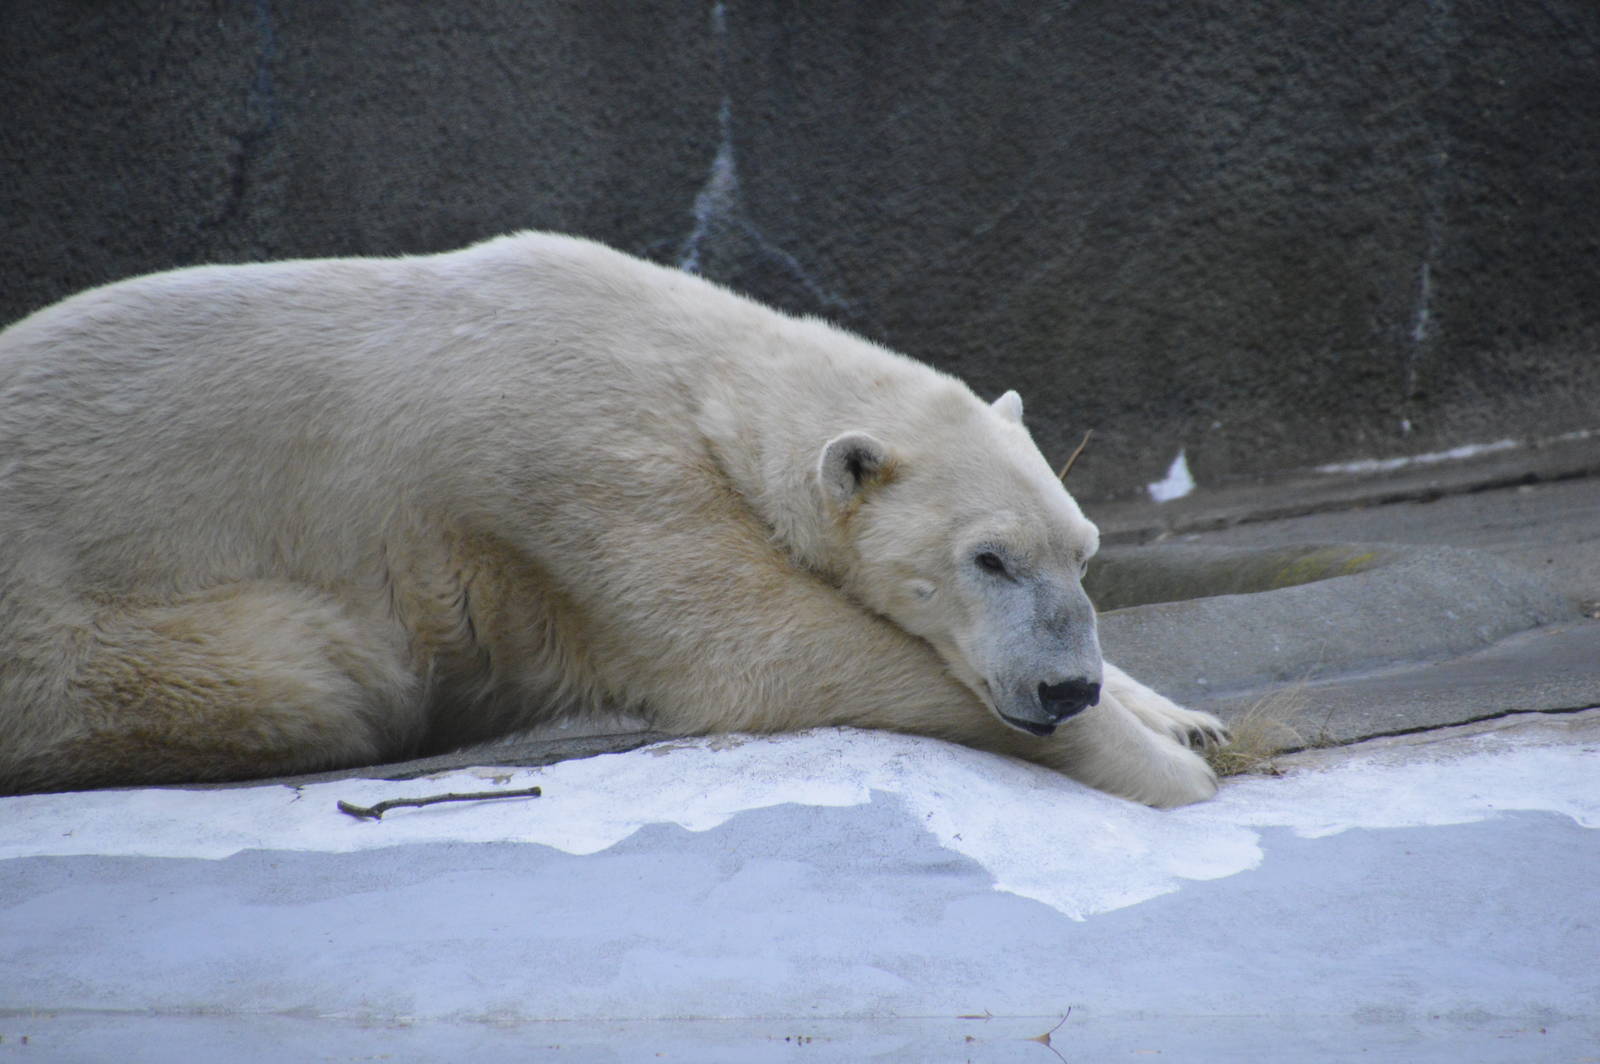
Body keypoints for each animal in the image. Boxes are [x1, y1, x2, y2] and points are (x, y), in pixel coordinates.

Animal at [0, 232, 1228, 806]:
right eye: (988, 558)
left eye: (1084, 554)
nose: (1064, 686)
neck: (684, 361)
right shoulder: (581, 467)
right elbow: (763, 648)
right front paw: (1166, 771)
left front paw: (1183, 719)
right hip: (87, 632)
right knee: (314, 668)